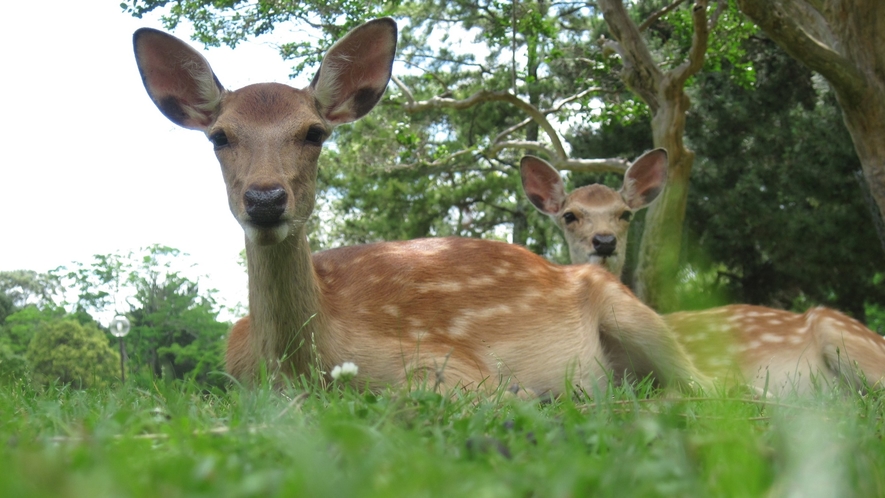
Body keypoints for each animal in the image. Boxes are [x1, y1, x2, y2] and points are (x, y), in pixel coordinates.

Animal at [133, 17, 712, 394]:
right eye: (219, 137)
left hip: (634, 313)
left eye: (315, 132)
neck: (305, 366)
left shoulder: (443, 356)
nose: (266, 198)